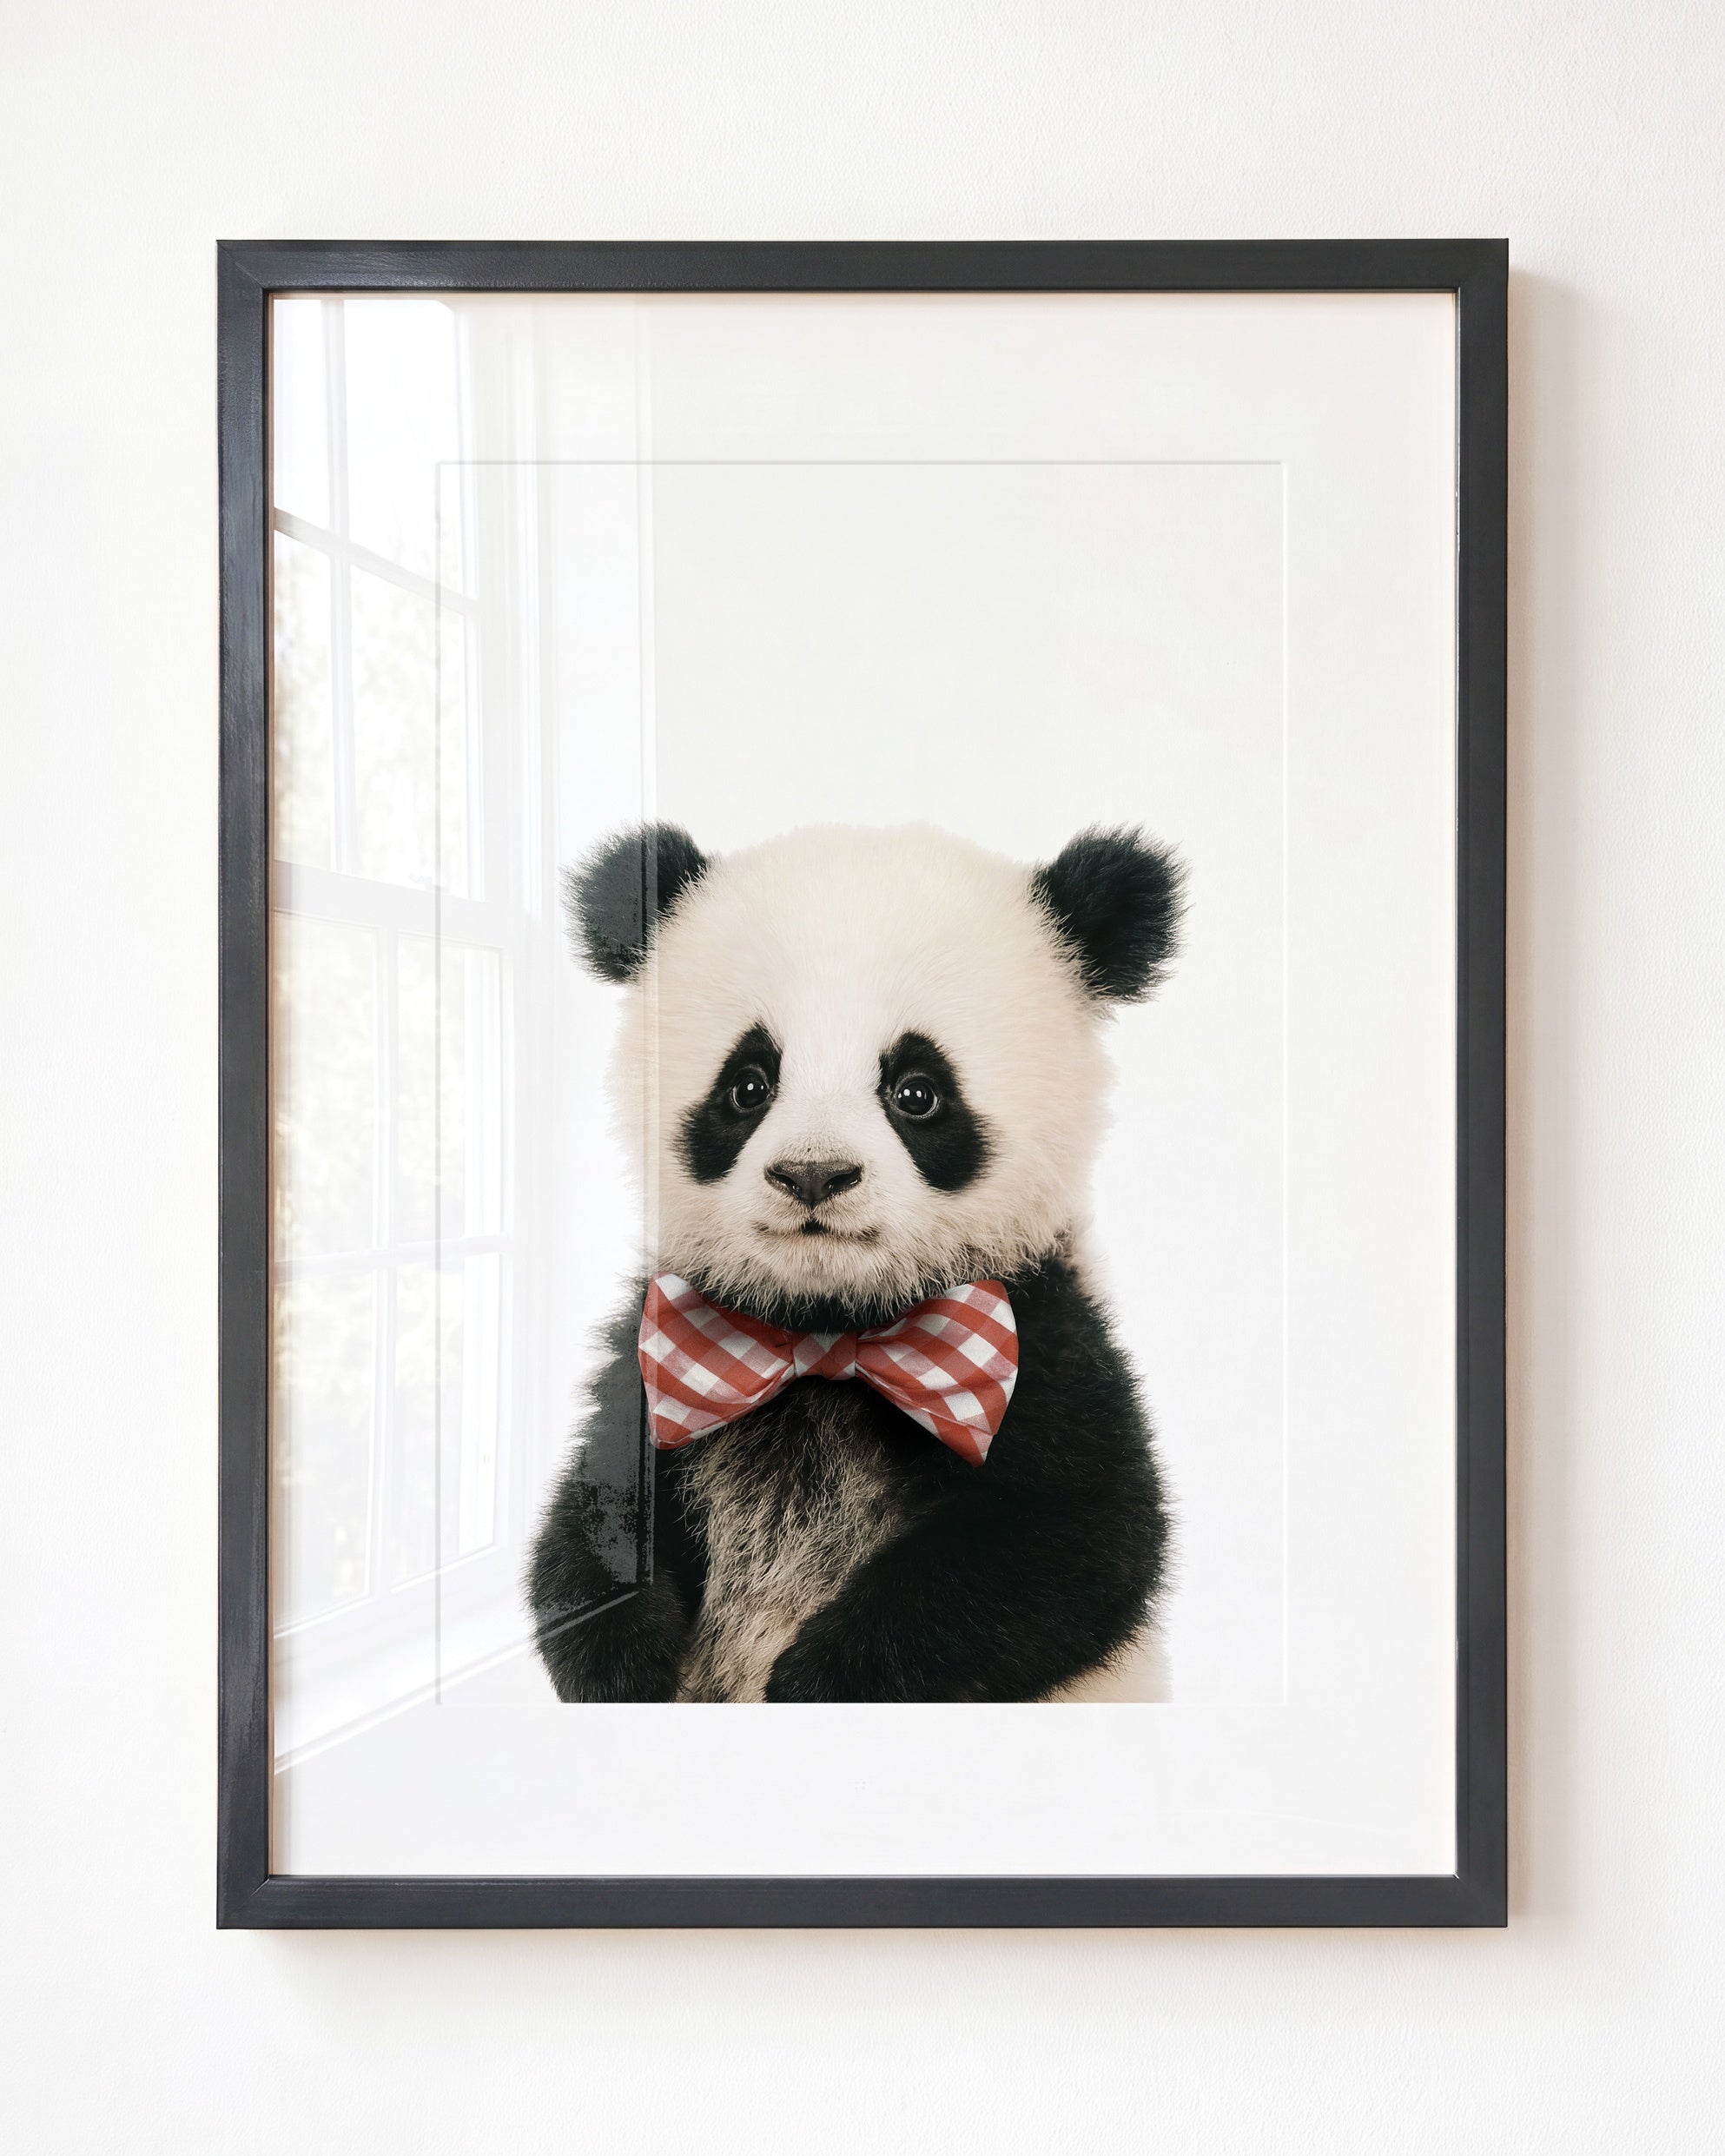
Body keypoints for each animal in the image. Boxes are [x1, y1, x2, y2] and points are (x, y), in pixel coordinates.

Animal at [527, 818, 1183, 1703]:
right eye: (748, 1085)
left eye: (917, 1091)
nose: (814, 1174)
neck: (829, 1333)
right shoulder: (658, 1353)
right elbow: (591, 1518)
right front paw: (625, 1663)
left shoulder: (1046, 1342)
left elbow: (1075, 1540)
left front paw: (818, 1680)